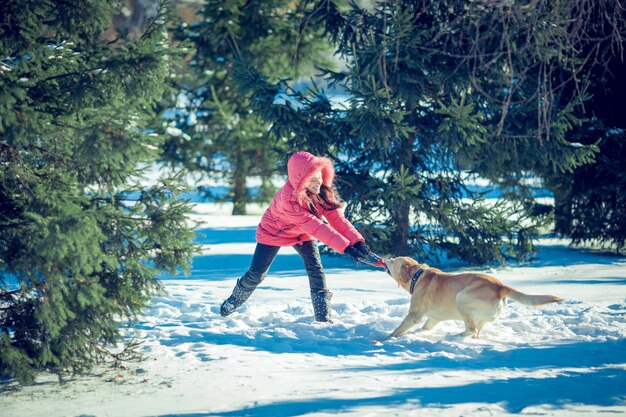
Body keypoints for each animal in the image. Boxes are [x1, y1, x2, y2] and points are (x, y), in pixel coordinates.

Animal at [380, 255, 560, 340]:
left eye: (393, 260)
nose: (385, 258)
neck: (417, 276)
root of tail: (500, 286)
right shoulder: (433, 319)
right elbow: (424, 327)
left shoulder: (414, 315)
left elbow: (398, 329)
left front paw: (386, 339)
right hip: (481, 316)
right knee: (476, 332)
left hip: (462, 297)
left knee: (470, 329)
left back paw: (453, 336)